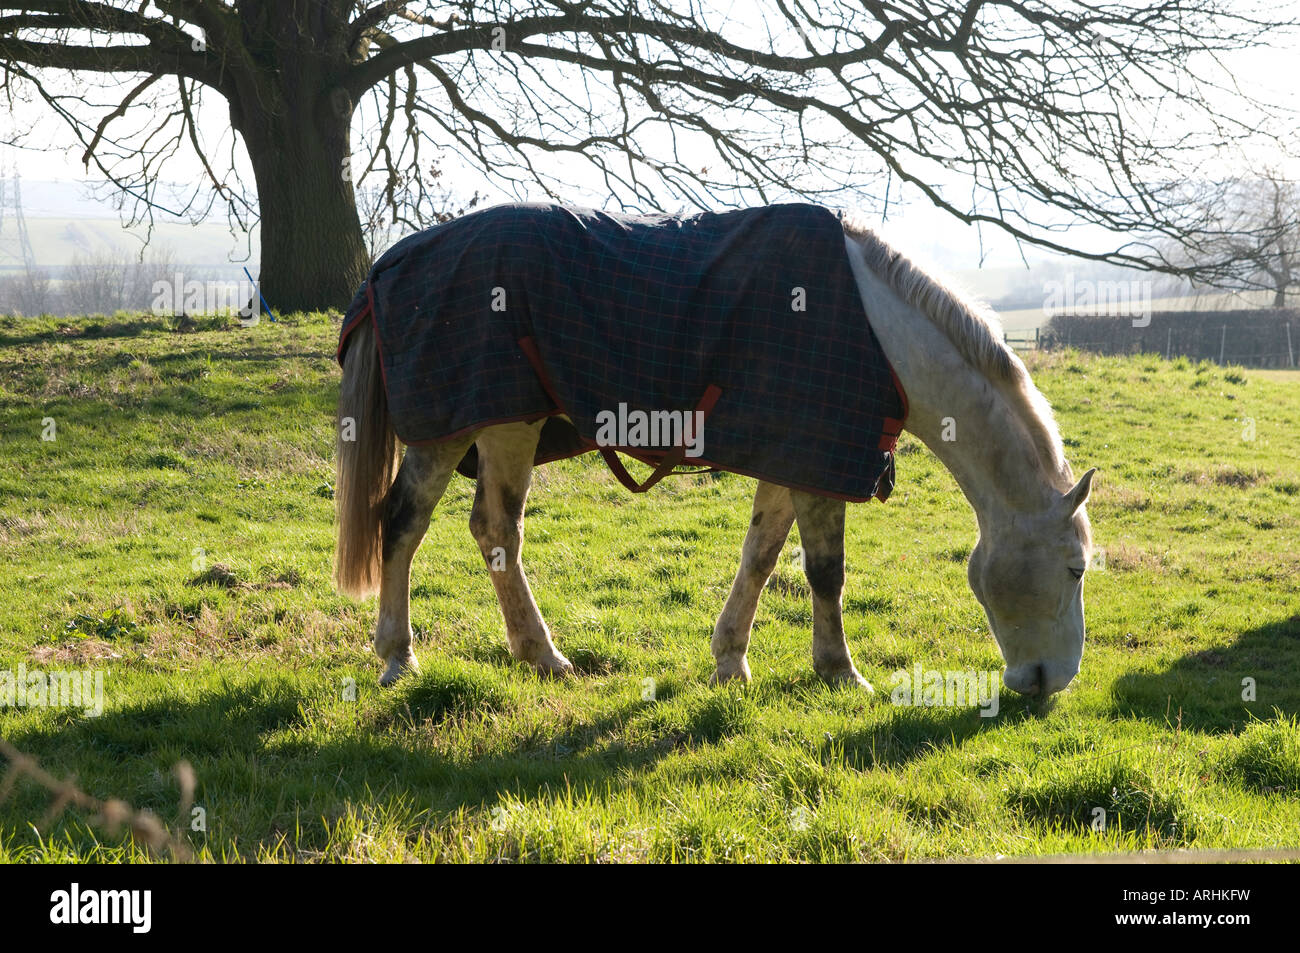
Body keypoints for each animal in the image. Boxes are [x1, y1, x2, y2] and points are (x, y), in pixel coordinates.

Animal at [333, 203, 1096, 698]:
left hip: (478, 427)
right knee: (441, 526)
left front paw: (731, 659)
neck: (878, 334)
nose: (1051, 682)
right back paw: (441, 655)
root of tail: (391, 263)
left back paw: (485, 652)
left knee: (450, 527)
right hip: (474, 425)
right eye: (1076, 567)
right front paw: (839, 669)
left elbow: (761, 558)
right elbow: (825, 572)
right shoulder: (819, 463)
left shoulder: (793, 458)